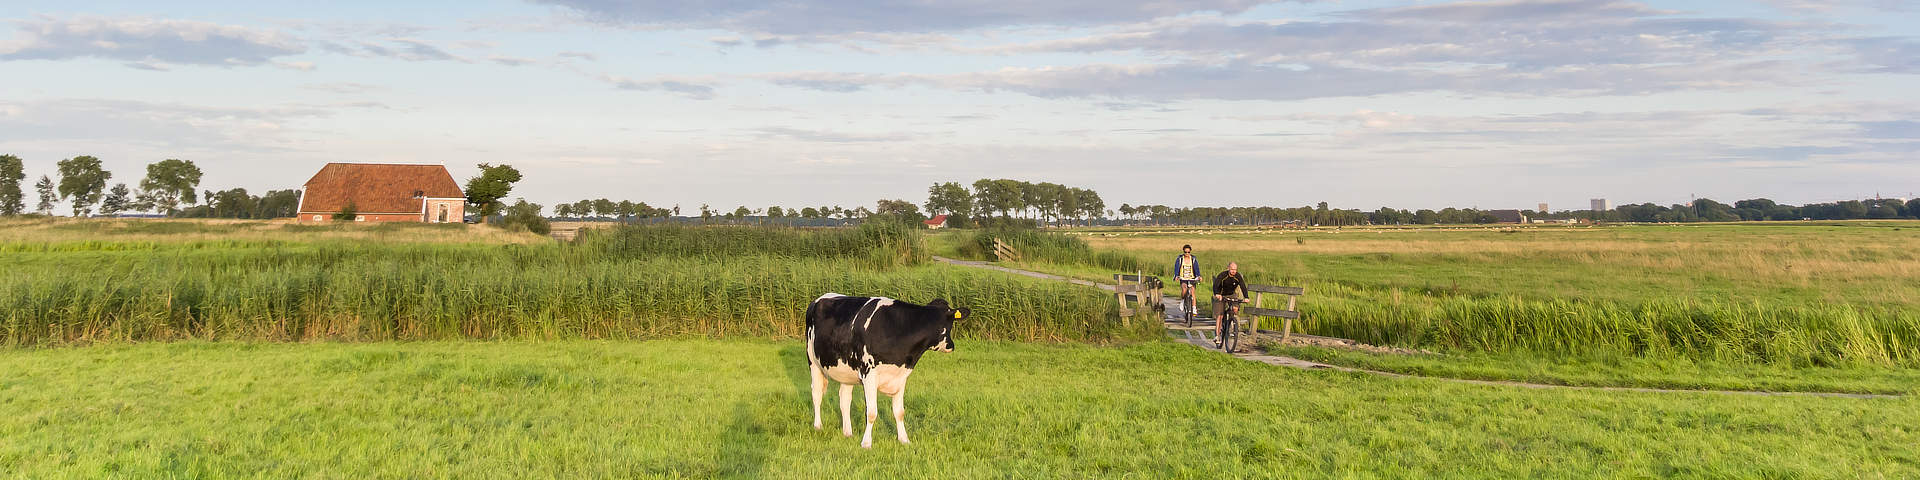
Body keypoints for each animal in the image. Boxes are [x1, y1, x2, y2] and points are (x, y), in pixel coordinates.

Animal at [802, 293, 967, 447]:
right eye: (950, 323)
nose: (951, 346)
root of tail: (819, 299)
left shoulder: (901, 375)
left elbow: (899, 412)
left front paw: (904, 440)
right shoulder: (869, 374)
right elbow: (871, 412)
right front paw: (866, 443)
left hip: (846, 371)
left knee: (844, 399)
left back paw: (847, 433)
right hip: (813, 361)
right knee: (816, 394)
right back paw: (818, 426)